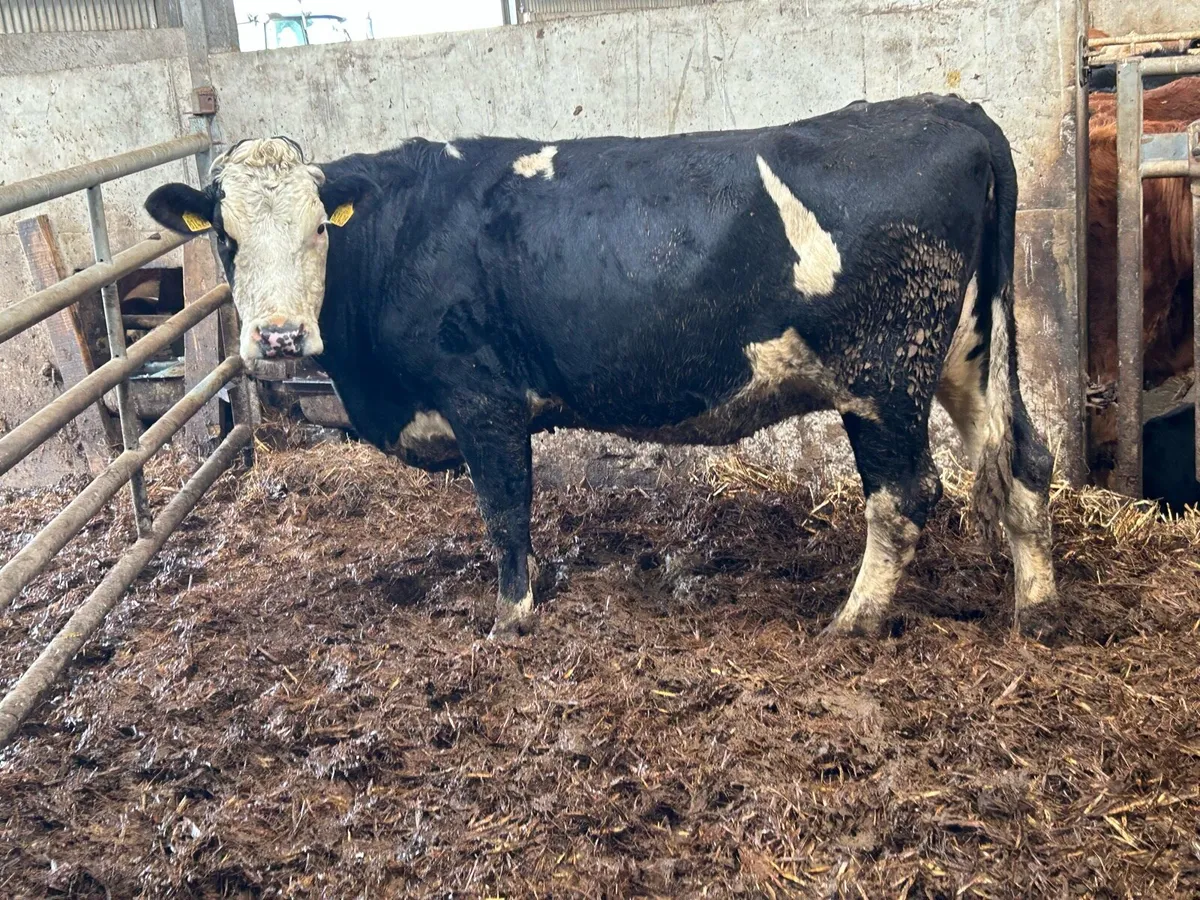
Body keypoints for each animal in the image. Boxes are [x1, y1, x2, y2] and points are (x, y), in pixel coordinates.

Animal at [143, 93, 1059, 639]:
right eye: (226, 237)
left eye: (317, 231)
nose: (278, 338)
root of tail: (940, 106)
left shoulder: (483, 399)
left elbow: (505, 509)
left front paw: (511, 616)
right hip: (965, 352)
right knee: (1022, 460)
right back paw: (1037, 608)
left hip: (881, 376)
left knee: (905, 497)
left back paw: (853, 621)